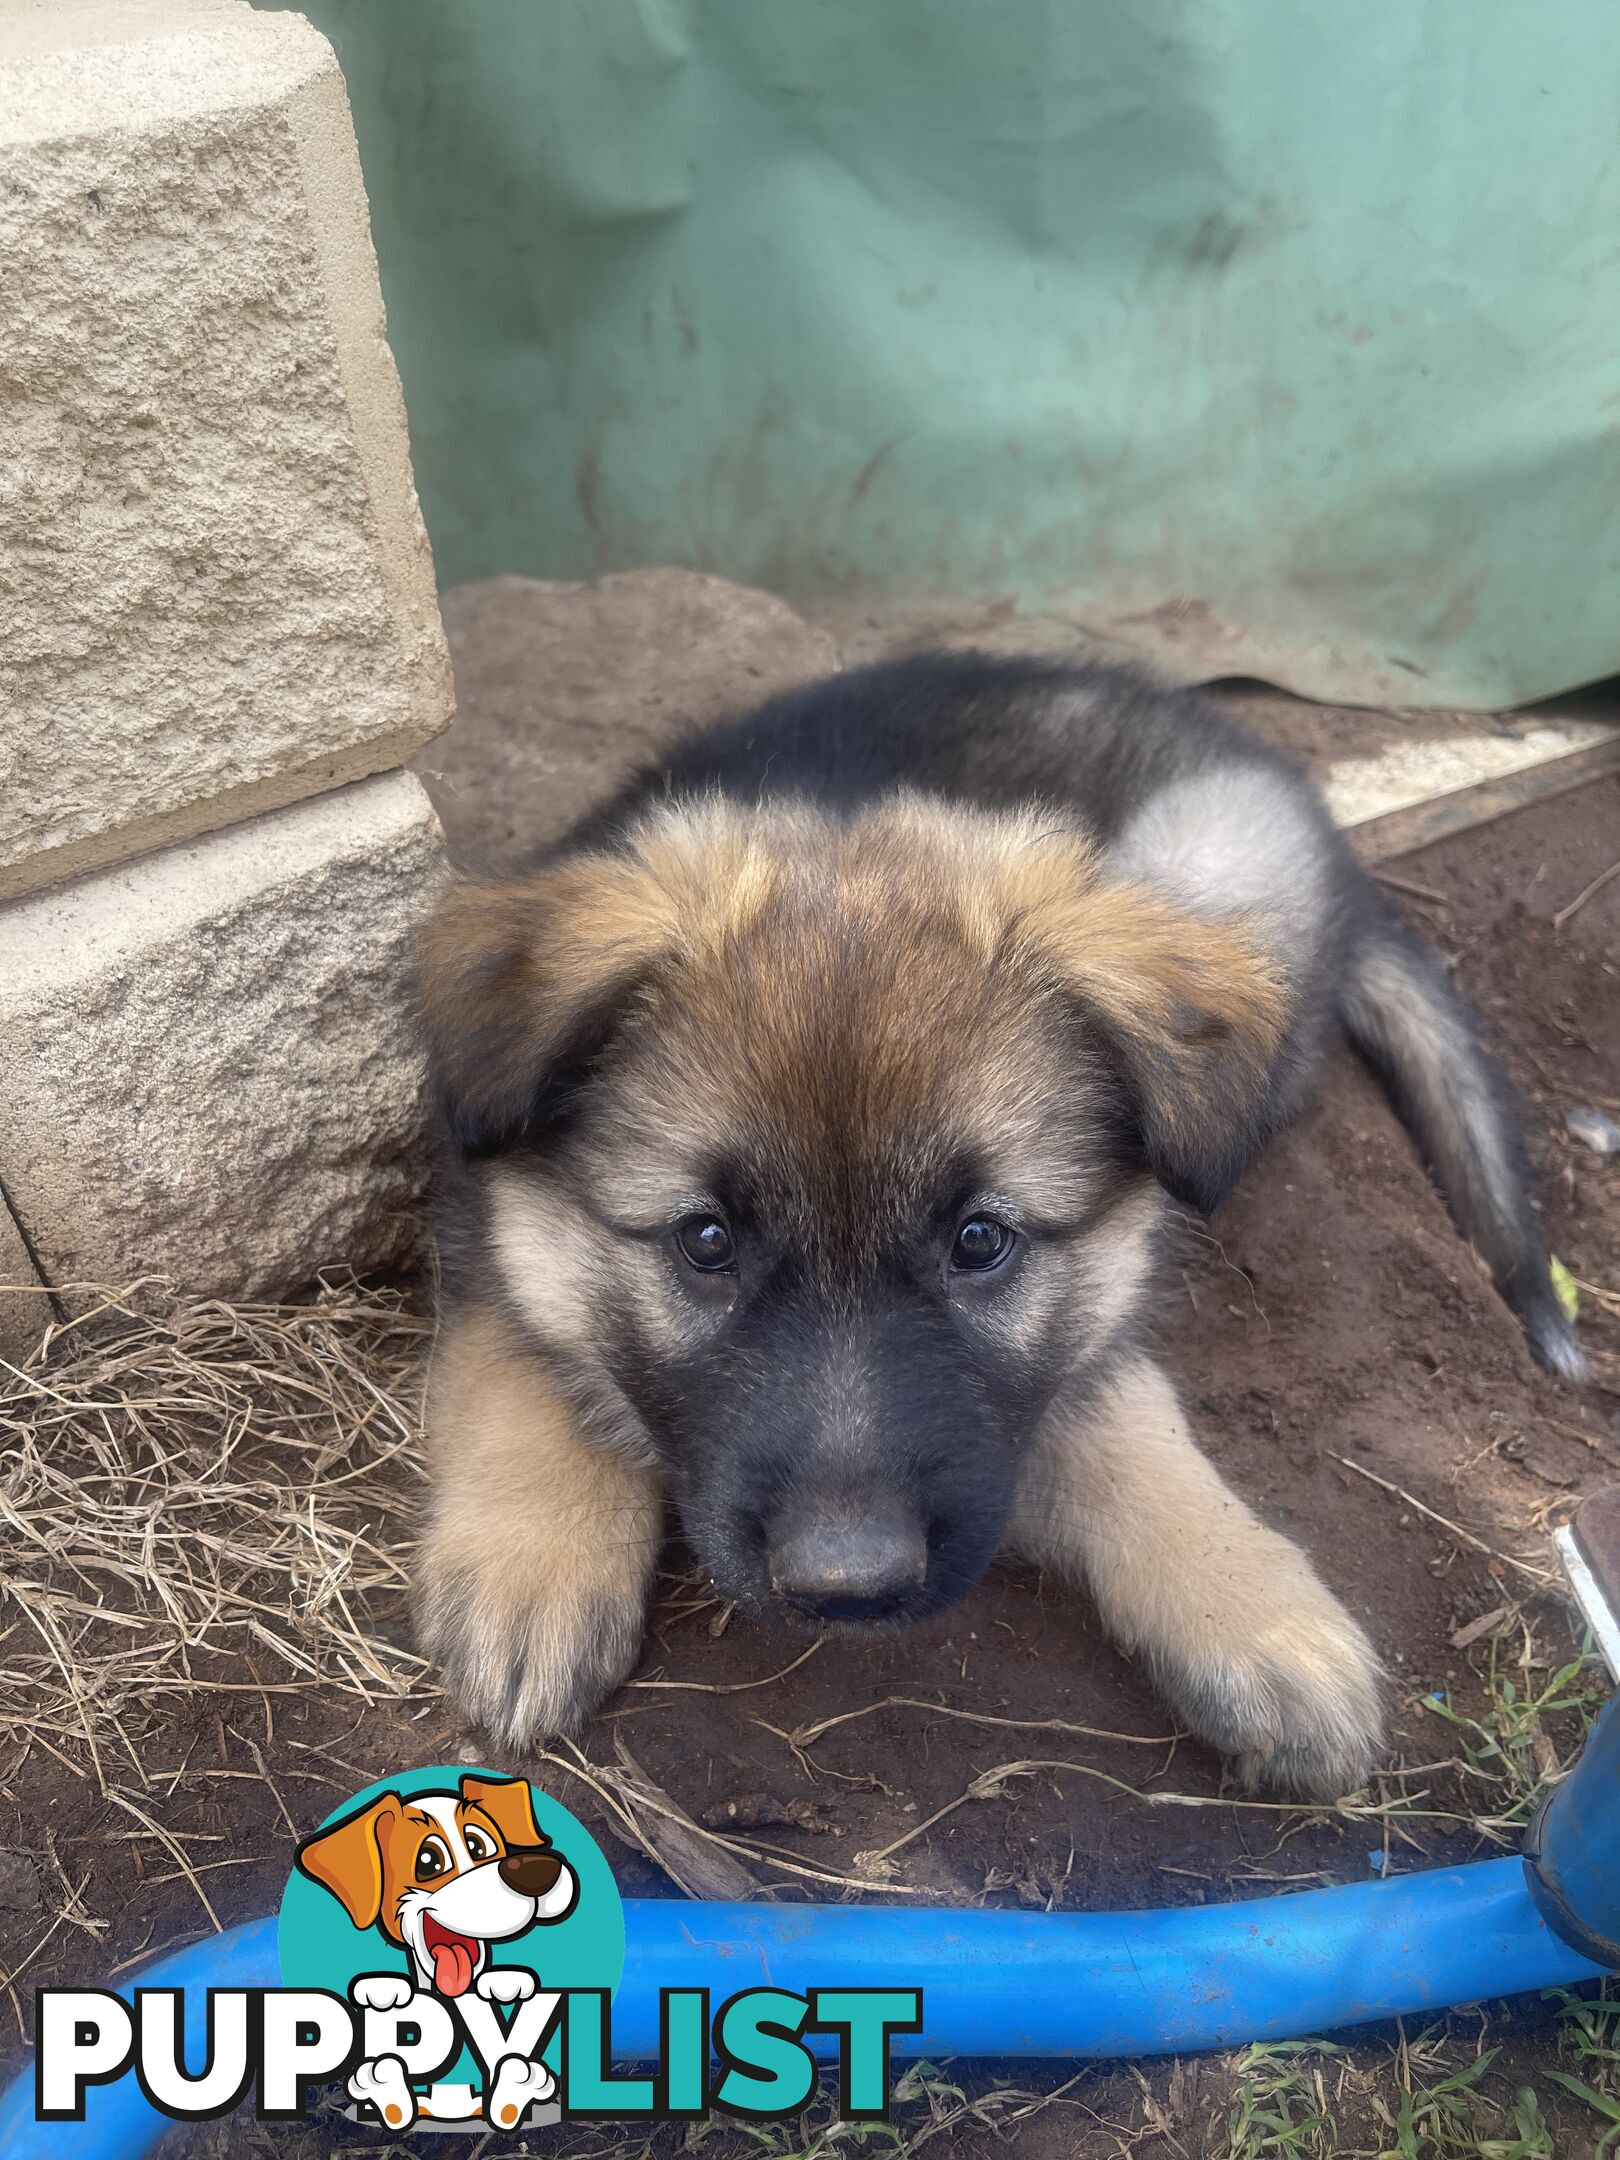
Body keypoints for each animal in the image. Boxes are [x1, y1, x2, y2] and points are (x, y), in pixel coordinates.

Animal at [414, 648, 1589, 1797]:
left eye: (981, 1241)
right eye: (706, 1242)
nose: (849, 1583)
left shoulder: (1102, 1291)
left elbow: (1127, 1417)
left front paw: (1255, 1613)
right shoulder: (483, 1216)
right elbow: (522, 1360)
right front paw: (532, 1563)